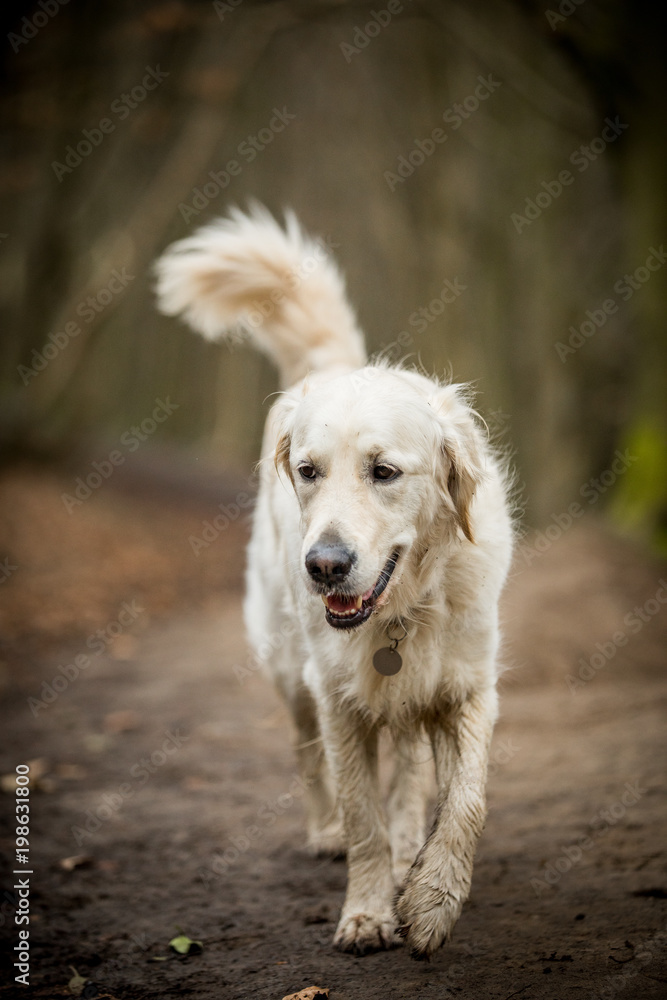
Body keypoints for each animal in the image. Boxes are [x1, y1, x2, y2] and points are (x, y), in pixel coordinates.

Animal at [154, 205, 516, 960]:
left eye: (384, 471)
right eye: (308, 471)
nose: (323, 565)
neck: (402, 611)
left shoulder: (467, 687)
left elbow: (464, 801)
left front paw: (433, 900)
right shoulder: (339, 700)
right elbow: (359, 814)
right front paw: (368, 912)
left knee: (408, 775)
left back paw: (411, 850)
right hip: (290, 670)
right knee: (305, 751)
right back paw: (326, 835)